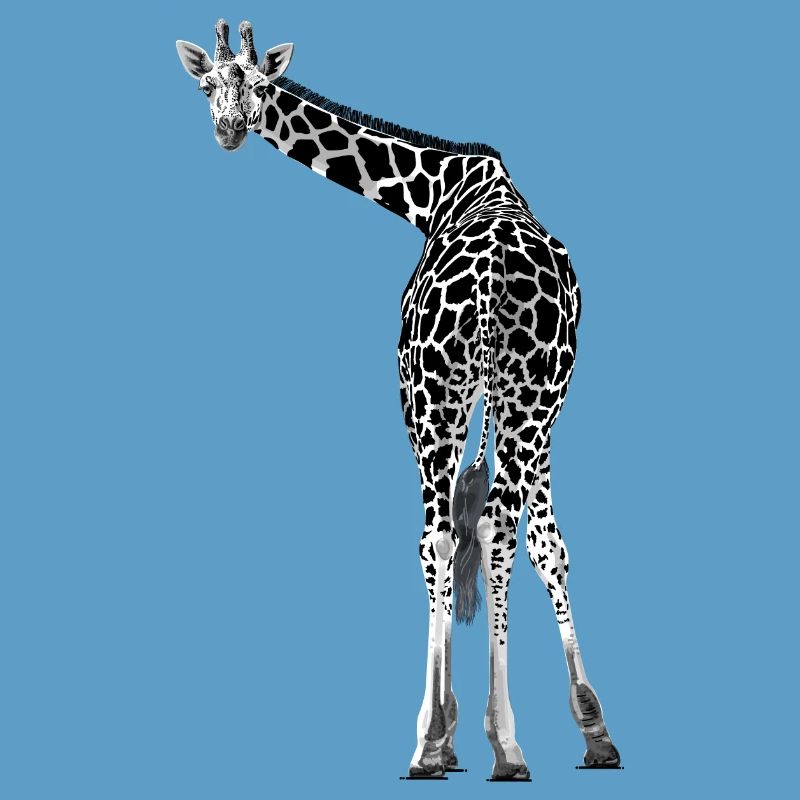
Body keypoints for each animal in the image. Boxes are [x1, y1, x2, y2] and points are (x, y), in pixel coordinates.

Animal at [177, 20, 622, 780]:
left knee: (440, 536)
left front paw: (443, 734)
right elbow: (544, 540)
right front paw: (583, 728)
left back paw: (442, 742)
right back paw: (524, 745)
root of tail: (493, 278)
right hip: (528, 393)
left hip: (435, 396)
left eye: (259, 85)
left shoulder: (429, 393)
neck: (439, 188)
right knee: (505, 528)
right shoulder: (538, 399)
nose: (229, 129)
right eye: (208, 85)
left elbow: (447, 542)